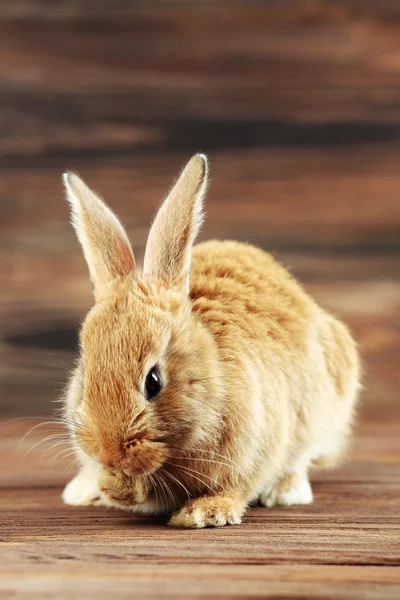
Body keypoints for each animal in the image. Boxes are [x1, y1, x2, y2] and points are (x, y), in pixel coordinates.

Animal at [61, 156, 360, 528]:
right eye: (84, 378)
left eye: (153, 381)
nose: (111, 455)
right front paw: (110, 486)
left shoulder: (255, 447)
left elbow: (238, 486)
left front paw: (204, 513)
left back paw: (286, 492)